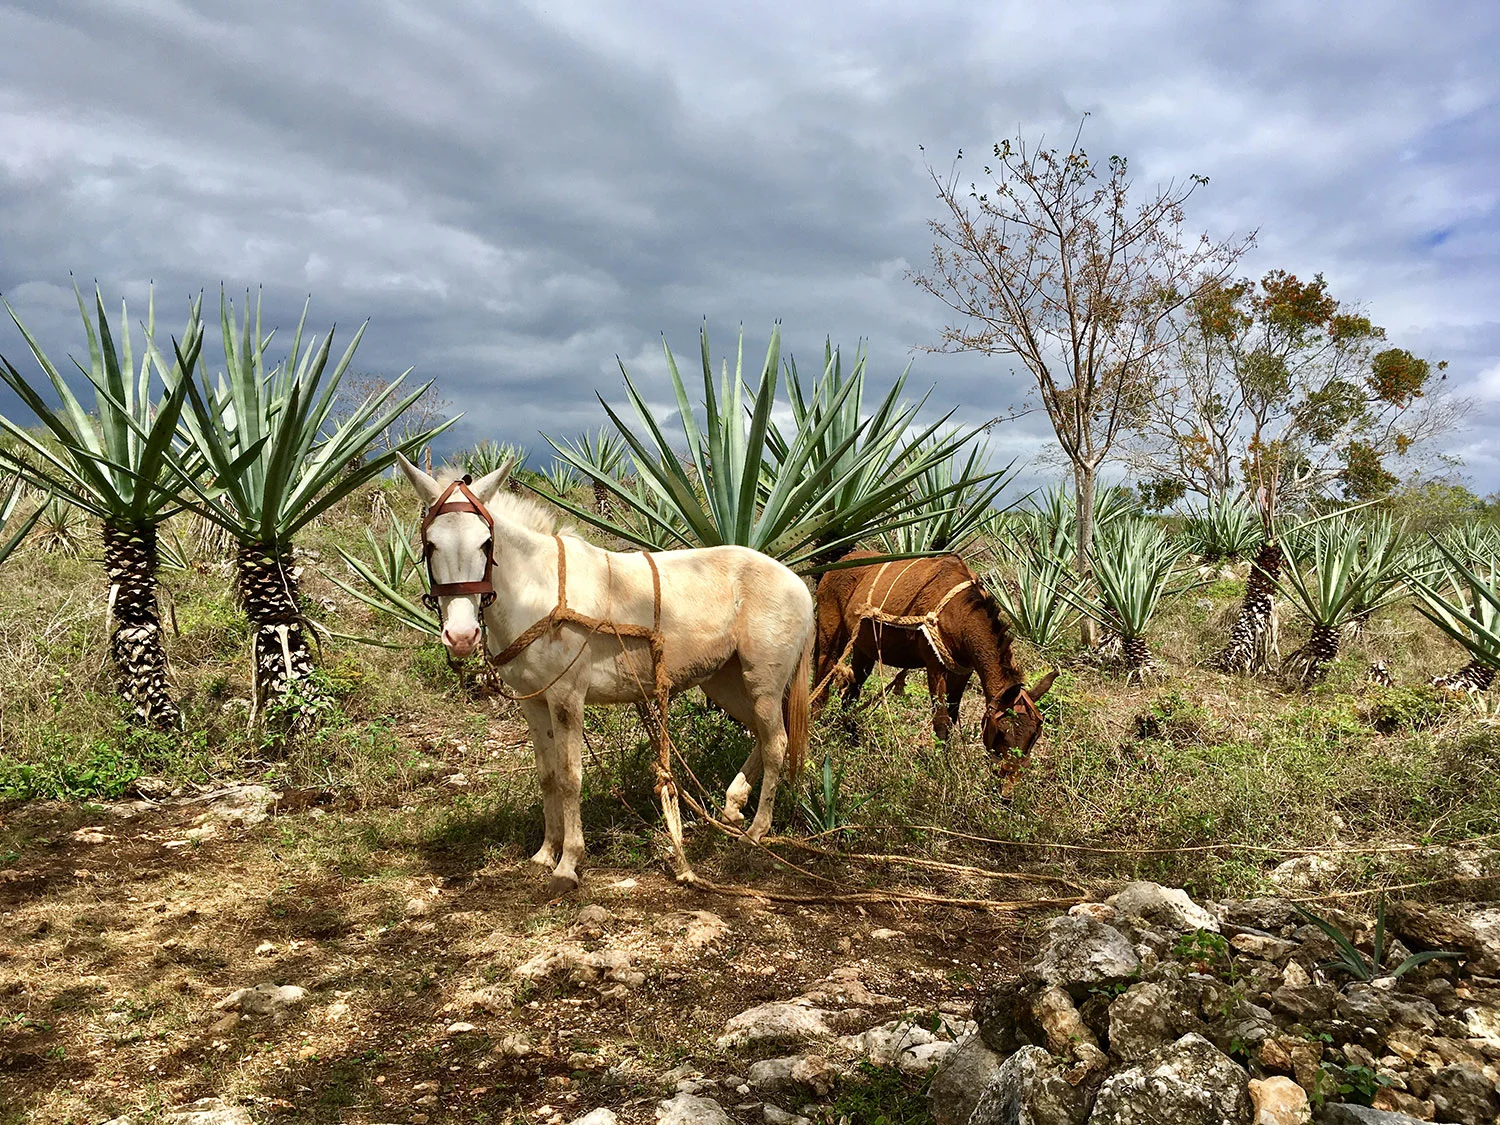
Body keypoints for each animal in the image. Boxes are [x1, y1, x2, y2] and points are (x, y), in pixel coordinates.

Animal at [395, 454, 814, 896]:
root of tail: (798, 584)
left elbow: (569, 777)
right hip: (725, 682)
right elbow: (547, 776)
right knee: (763, 734)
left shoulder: (566, 699)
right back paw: (734, 806)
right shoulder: (534, 702)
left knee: (776, 742)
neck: (537, 589)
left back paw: (756, 831)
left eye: (485, 543)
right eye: (430, 544)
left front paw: (568, 864)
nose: (461, 636)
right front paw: (545, 853)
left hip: (761, 683)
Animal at [813, 551, 1056, 785]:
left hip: (864, 648)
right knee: (822, 681)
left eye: (1035, 734)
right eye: (1002, 732)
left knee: (851, 693)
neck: (961, 612)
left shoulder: (962, 670)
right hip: (829, 636)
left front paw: (947, 759)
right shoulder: (935, 665)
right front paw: (941, 768)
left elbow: (952, 716)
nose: (1008, 784)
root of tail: (836, 564)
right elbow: (940, 719)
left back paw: (851, 738)